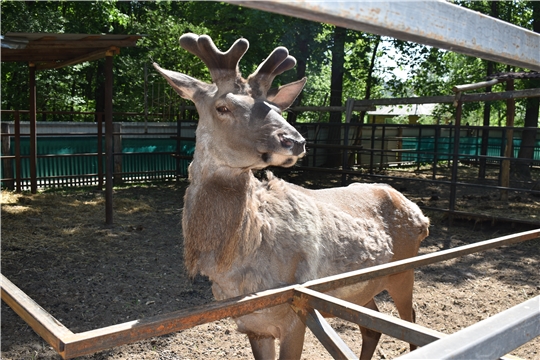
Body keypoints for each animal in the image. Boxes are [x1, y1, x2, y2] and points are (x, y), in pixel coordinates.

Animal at [154, 33, 428, 360]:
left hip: (403, 272)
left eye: (275, 107)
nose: (294, 140)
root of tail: (422, 217)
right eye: (223, 107)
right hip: (361, 290)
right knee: (371, 327)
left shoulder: (296, 312)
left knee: (411, 322)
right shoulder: (253, 324)